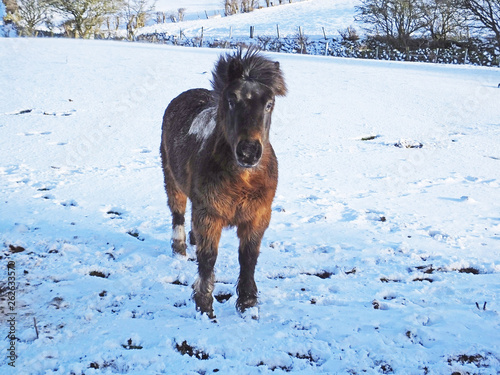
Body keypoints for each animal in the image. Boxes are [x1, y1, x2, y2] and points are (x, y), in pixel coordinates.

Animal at [160, 46, 286, 318]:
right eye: (231, 100)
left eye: (269, 104)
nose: (248, 152)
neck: (242, 181)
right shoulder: (209, 216)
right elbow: (208, 258)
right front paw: (204, 306)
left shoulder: (258, 216)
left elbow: (248, 258)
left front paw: (247, 304)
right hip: (171, 180)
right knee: (177, 213)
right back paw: (180, 248)